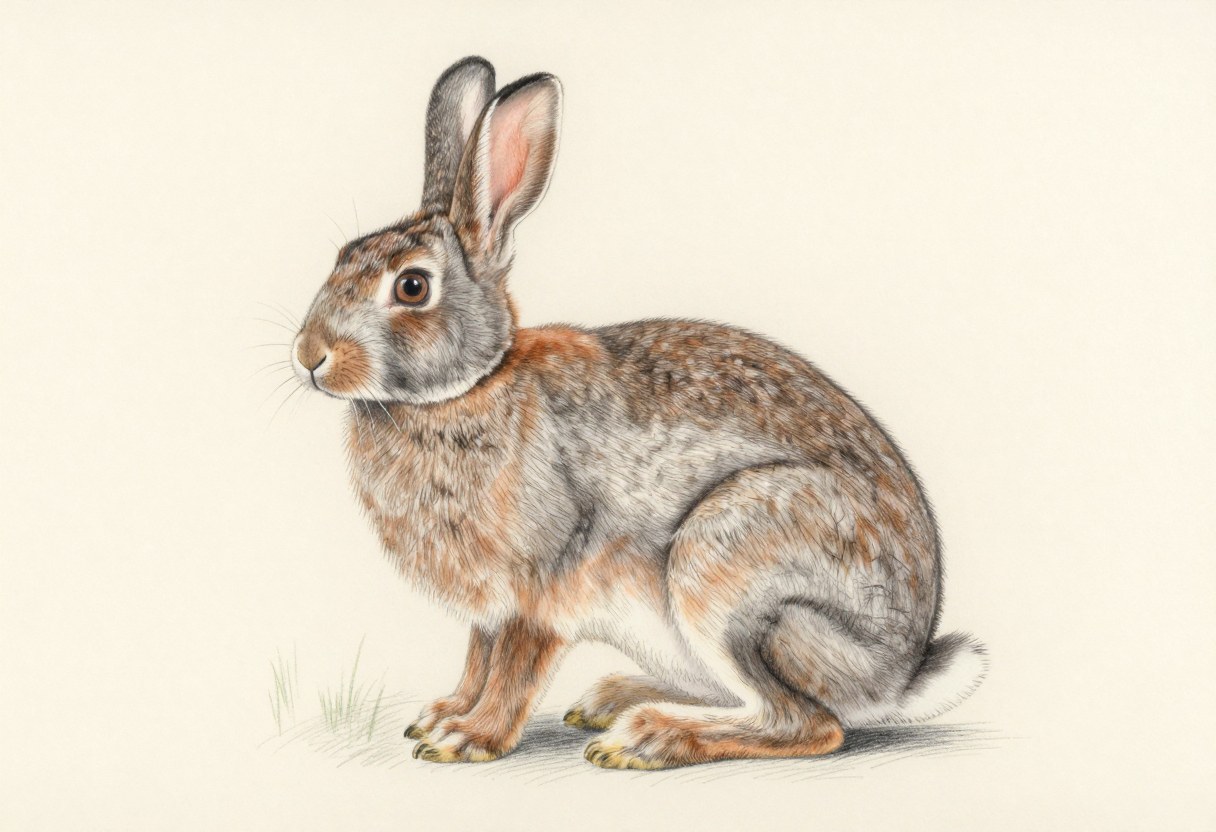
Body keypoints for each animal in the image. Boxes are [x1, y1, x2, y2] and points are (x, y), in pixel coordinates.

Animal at [290, 55, 987, 770]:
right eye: (343, 256)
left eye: (412, 286)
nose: (310, 356)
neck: (469, 387)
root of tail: (897, 678)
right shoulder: (489, 608)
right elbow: (477, 660)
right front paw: (442, 715)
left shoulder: (538, 590)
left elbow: (512, 668)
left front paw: (469, 738)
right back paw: (610, 701)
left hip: (730, 568)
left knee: (808, 724)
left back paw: (647, 737)